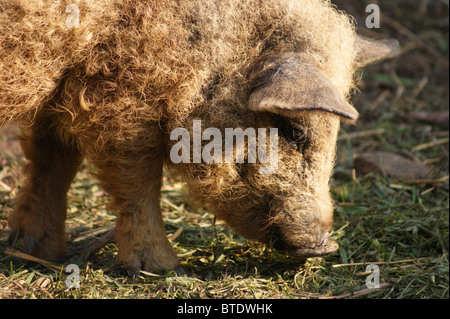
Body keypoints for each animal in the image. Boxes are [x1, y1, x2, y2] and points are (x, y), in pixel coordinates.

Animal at [1, 0, 400, 276]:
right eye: (294, 131)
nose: (325, 247)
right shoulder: (123, 98)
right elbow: (138, 182)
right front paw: (165, 270)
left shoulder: (65, 85)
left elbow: (53, 160)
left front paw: (39, 252)